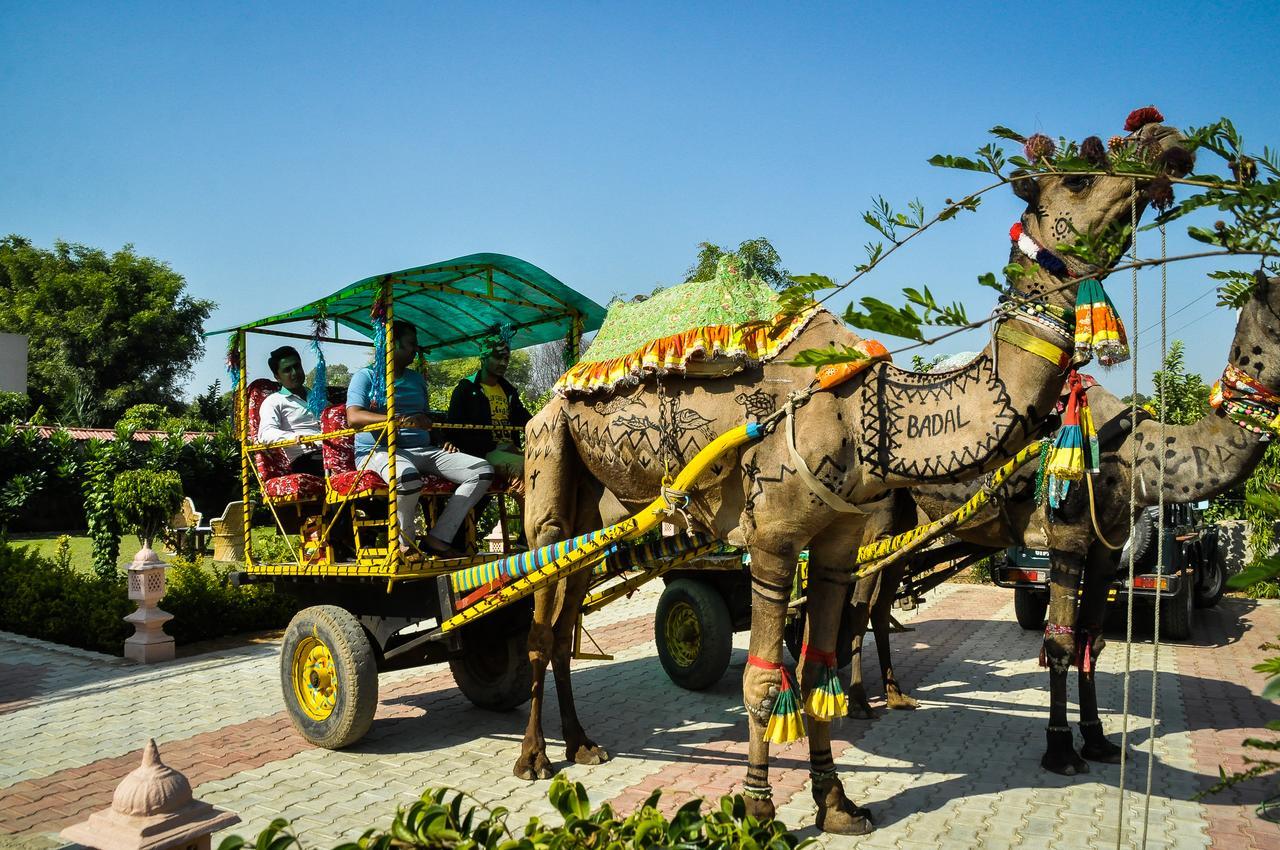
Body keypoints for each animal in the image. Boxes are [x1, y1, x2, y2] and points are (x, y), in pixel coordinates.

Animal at [512, 122, 1187, 834]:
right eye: (1081, 174)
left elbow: (818, 670)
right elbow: (763, 678)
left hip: (599, 513)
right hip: (547, 463)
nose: (1165, 142)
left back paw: (582, 744)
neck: (863, 411)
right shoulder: (774, 538)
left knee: (565, 614)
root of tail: (561, 383)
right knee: (538, 622)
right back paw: (534, 757)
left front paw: (836, 803)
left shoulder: (837, 543)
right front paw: (758, 807)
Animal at [844, 273, 1274, 778]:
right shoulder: (1067, 537)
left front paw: (1099, 740)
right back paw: (857, 702)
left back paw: (895, 696)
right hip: (876, 517)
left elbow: (1094, 638)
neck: (1133, 455)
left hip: (907, 526)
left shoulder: (1109, 546)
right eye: (1274, 316)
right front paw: (1061, 749)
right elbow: (1060, 645)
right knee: (856, 602)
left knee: (879, 602)